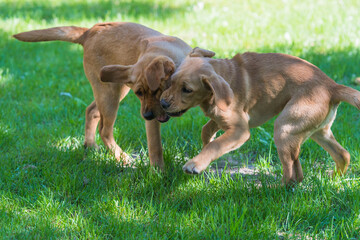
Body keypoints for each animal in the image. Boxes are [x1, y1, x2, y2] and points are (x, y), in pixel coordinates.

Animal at [14, 22, 193, 169]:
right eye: (139, 93)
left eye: (157, 91)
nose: (147, 116)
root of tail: (89, 31)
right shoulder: (152, 122)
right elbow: (156, 147)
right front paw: (158, 174)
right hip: (110, 94)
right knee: (104, 130)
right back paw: (123, 158)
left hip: (111, 90)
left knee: (91, 111)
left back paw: (90, 145)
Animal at [161, 47, 360, 185]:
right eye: (170, 81)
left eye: (187, 90)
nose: (162, 103)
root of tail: (332, 86)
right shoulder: (222, 120)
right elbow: (206, 130)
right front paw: (205, 148)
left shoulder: (240, 131)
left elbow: (216, 144)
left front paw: (196, 163)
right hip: (315, 129)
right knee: (341, 155)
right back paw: (333, 178)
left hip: (284, 128)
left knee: (292, 174)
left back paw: (274, 189)